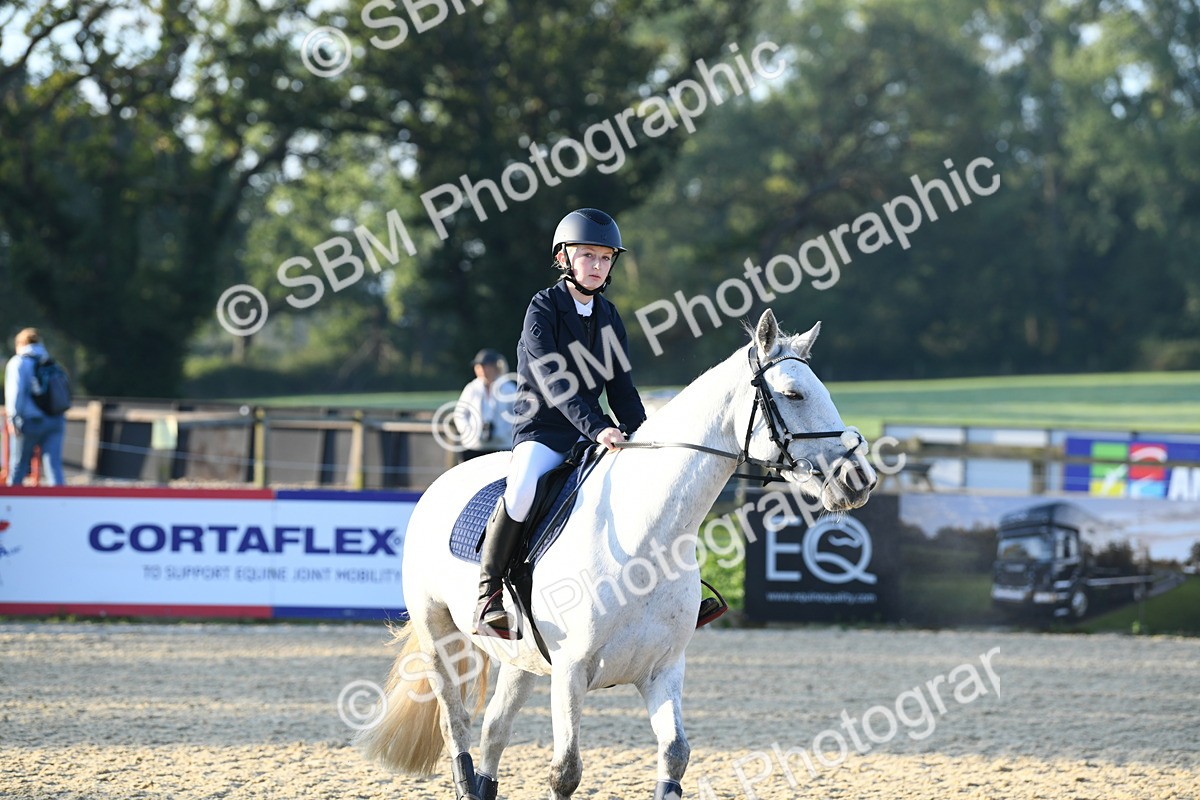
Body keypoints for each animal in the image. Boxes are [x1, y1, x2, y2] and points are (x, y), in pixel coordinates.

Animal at [354, 309, 878, 800]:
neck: (646, 539)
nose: (859, 479)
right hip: (438, 636)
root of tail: (441, 482)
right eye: (793, 394)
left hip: (521, 659)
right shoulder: (570, 672)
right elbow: (565, 772)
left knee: (495, 730)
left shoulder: (663, 668)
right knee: (456, 723)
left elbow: (675, 755)